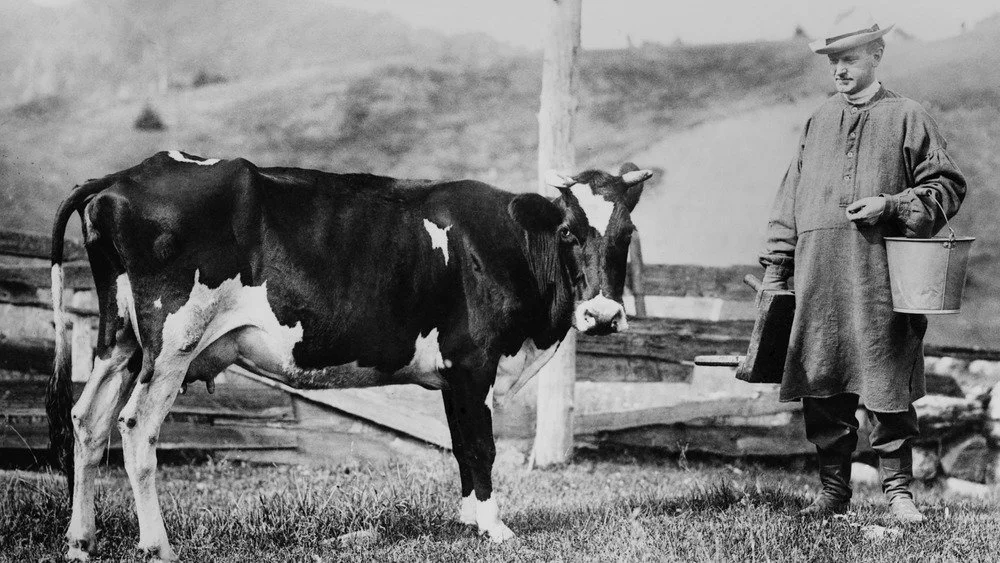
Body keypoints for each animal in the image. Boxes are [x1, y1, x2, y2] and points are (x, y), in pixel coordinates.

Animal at [47, 150, 652, 561]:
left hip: (120, 340)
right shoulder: (474, 363)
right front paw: (495, 527)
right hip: (171, 343)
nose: (603, 314)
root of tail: (123, 177)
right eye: (569, 232)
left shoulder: (453, 376)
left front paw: (467, 521)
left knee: (87, 419)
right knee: (135, 426)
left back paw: (80, 540)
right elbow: (482, 447)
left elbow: (461, 446)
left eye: (626, 232)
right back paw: (158, 546)